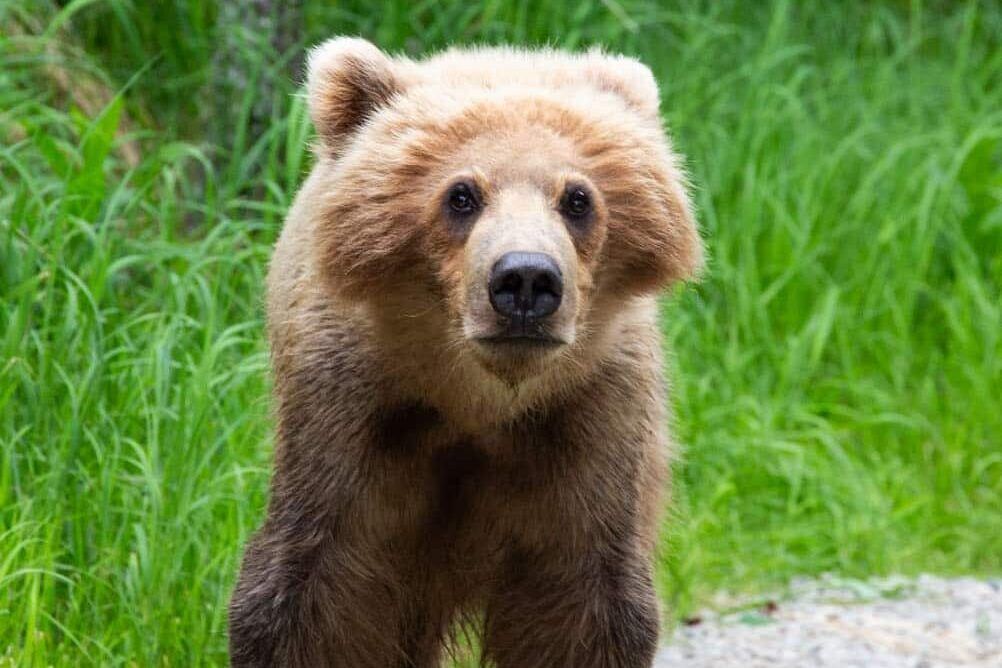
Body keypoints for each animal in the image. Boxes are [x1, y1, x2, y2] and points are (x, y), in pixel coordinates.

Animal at [228, 37, 703, 668]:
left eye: (578, 198)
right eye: (461, 194)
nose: (525, 279)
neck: (475, 398)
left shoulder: (586, 417)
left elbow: (581, 600)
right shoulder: (350, 411)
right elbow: (315, 596)